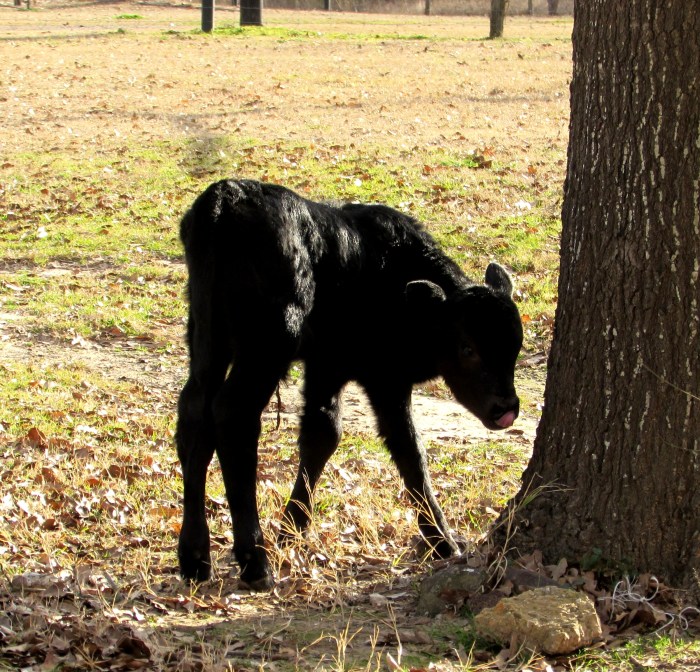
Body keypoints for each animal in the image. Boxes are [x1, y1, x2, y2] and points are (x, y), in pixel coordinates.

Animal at [176, 179, 523, 590]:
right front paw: (442, 541)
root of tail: (226, 198)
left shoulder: (326, 364)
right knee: (233, 415)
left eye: (516, 345)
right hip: (269, 340)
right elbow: (409, 451)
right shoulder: (385, 377)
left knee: (194, 411)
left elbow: (322, 434)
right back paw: (254, 561)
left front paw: (293, 528)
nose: (506, 408)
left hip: (205, 334)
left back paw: (195, 558)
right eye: (468, 348)